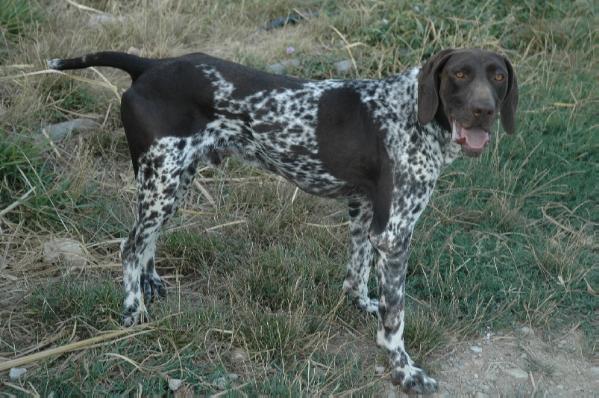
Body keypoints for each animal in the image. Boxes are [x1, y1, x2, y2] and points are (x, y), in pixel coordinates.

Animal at [47, 48, 516, 394]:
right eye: (459, 74)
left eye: (497, 77)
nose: (483, 111)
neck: (413, 115)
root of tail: (149, 65)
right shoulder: (395, 233)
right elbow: (395, 320)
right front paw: (405, 372)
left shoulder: (366, 213)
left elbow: (358, 275)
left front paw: (363, 304)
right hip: (161, 181)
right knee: (130, 246)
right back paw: (133, 310)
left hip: (172, 182)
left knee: (146, 242)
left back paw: (151, 284)